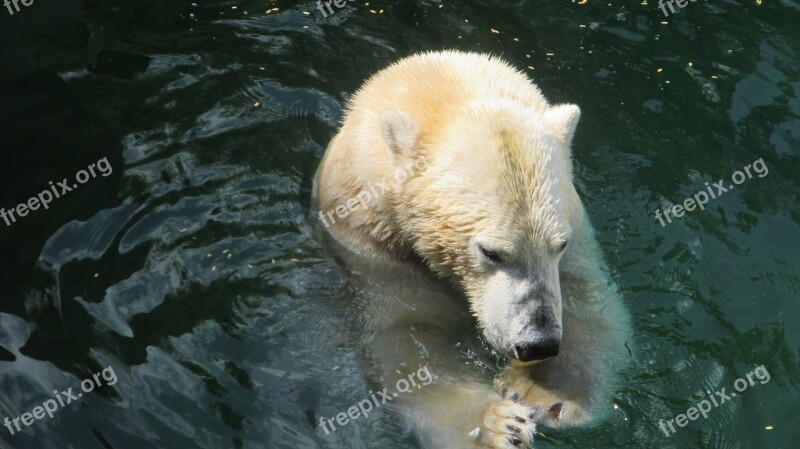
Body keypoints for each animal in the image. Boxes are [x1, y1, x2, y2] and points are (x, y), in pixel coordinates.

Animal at [312, 50, 632, 448]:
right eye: (491, 252)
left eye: (559, 244)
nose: (538, 344)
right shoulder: (378, 249)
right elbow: (408, 337)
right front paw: (499, 426)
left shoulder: (577, 240)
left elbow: (590, 305)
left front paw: (542, 391)